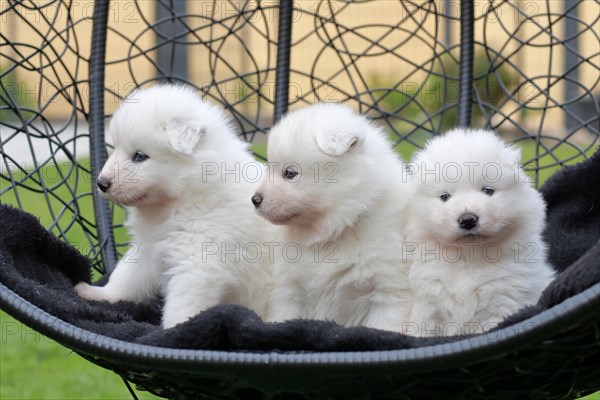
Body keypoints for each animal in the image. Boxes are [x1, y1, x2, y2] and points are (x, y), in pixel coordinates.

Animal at [74, 84, 272, 328]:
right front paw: (98, 293)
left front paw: (174, 331)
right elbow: (126, 277)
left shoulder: (198, 264)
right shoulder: (147, 250)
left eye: (140, 156)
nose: (102, 183)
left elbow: (181, 307)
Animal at [406, 130, 556, 336]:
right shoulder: (427, 301)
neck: (468, 257)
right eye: (445, 197)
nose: (468, 219)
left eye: (488, 190)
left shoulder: (502, 301)